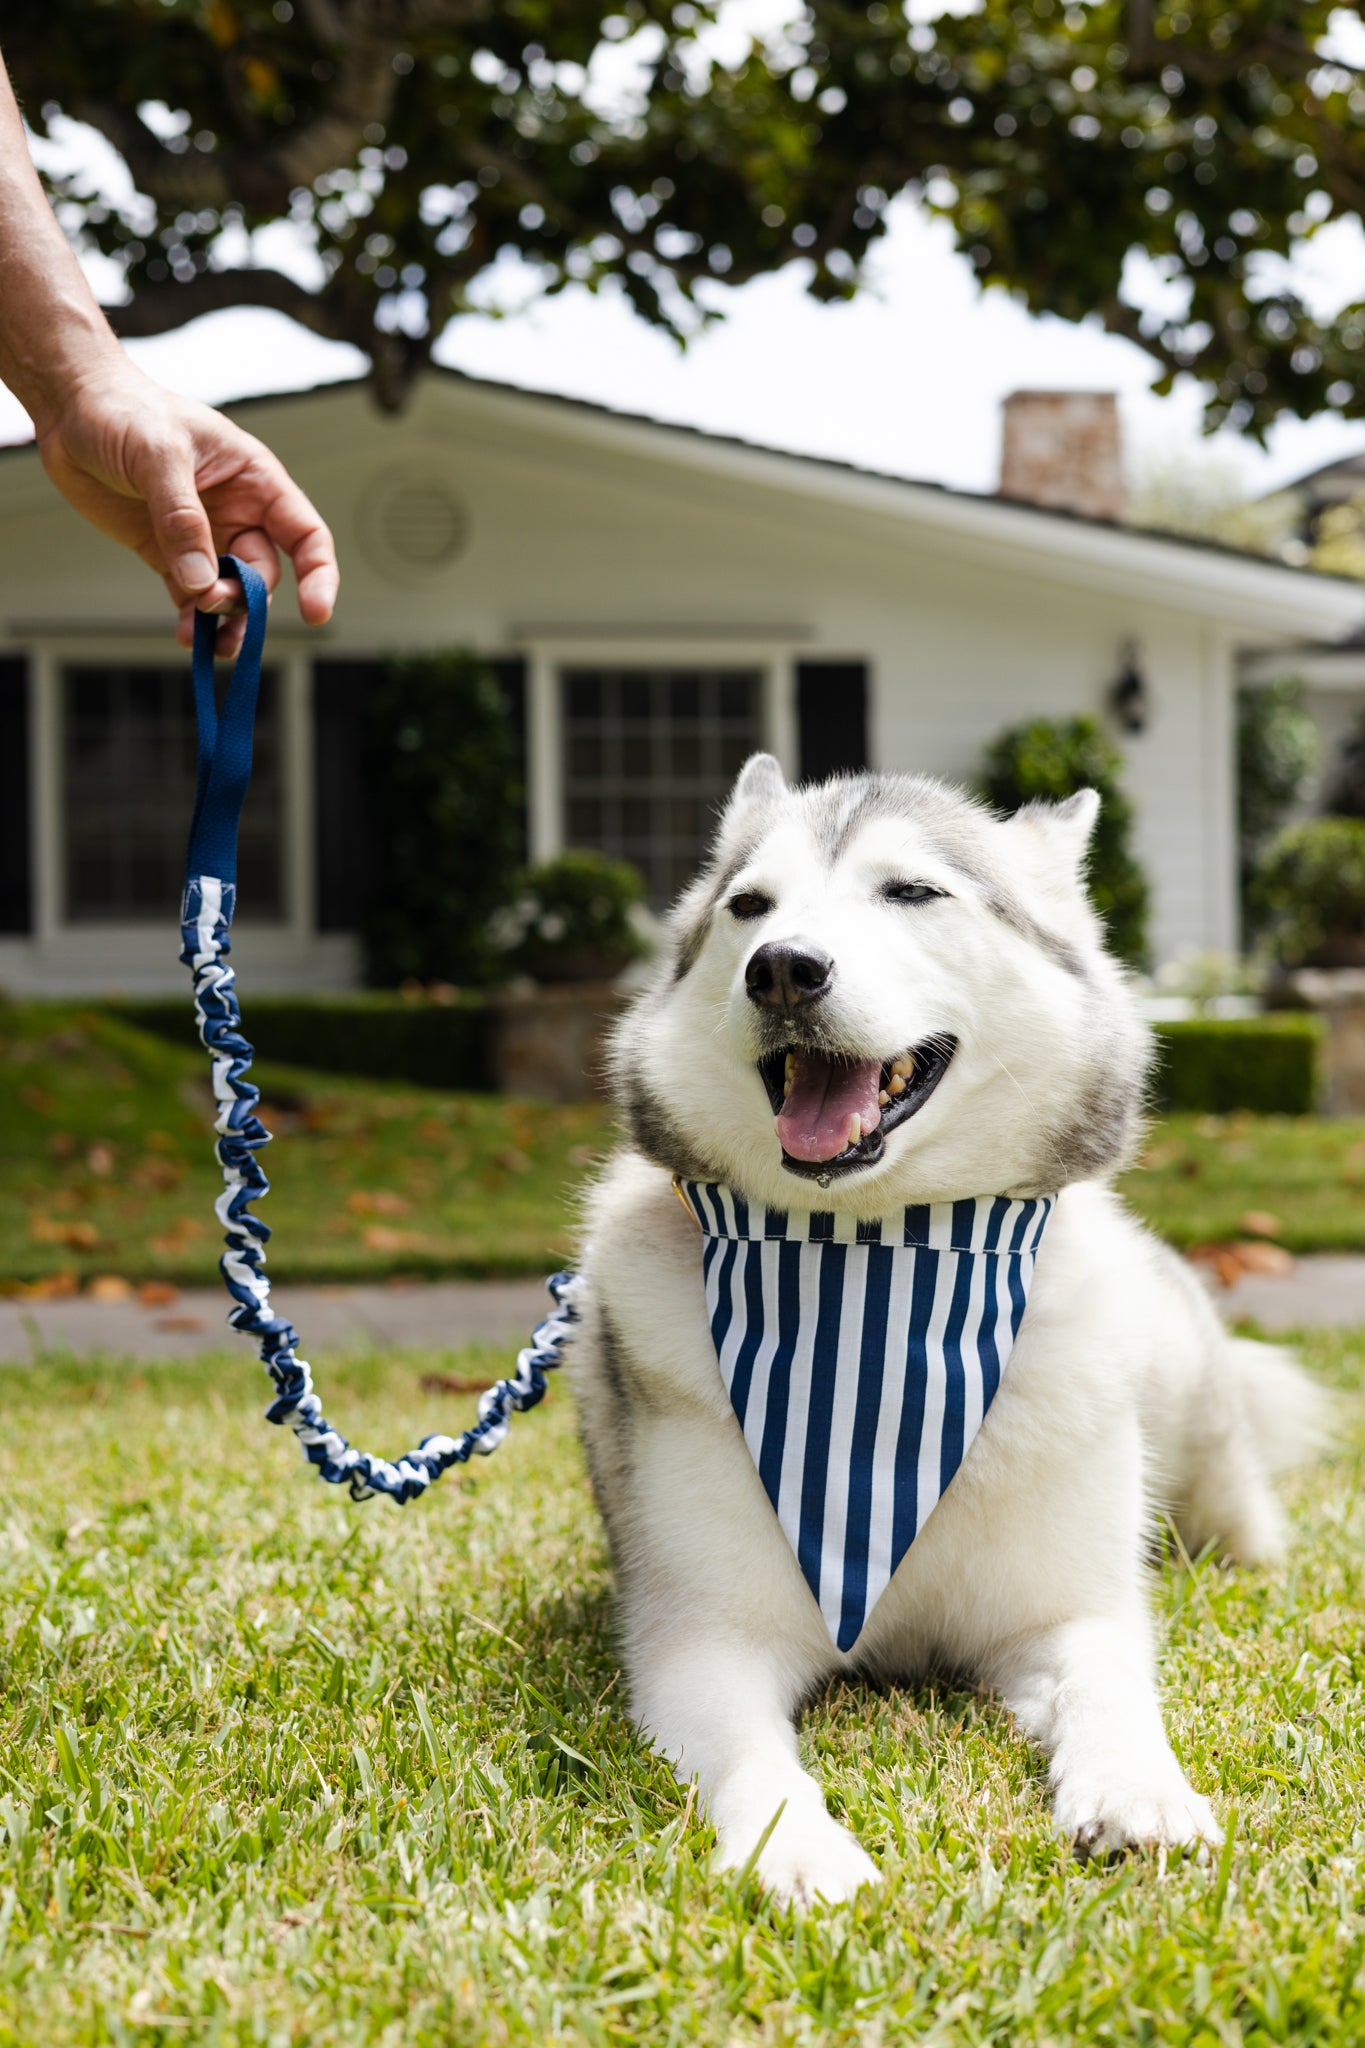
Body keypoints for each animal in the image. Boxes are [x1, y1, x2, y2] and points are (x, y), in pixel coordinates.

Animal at [573, 753, 1326, 1900]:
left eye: (912, 892)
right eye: (750, 907)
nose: (782, 968)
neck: (882, 1262)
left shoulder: (1066, 1611)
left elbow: (1112, 1690)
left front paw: (1139, 1792)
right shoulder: (700, 1639)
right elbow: (755, 1758)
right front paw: (799, 1850)